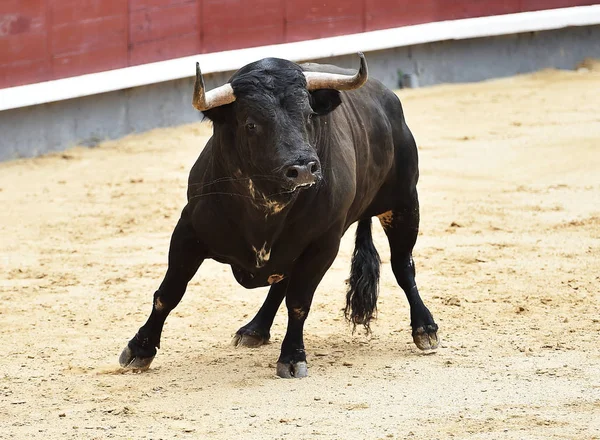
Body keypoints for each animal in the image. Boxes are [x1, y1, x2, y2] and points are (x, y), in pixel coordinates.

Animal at [119, 52, 438, 378]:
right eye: (251, 124)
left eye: (309, 115)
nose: (304, 169)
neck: (263, 208)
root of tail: (387, 99)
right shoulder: (188, 232)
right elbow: (169, 293)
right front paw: (140, 349)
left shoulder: (323, 245)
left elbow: (299, 303)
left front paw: (292, 357)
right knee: (281, 285)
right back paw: (255, 329)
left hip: (404, 203)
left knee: (403, 265)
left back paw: (425, 328)